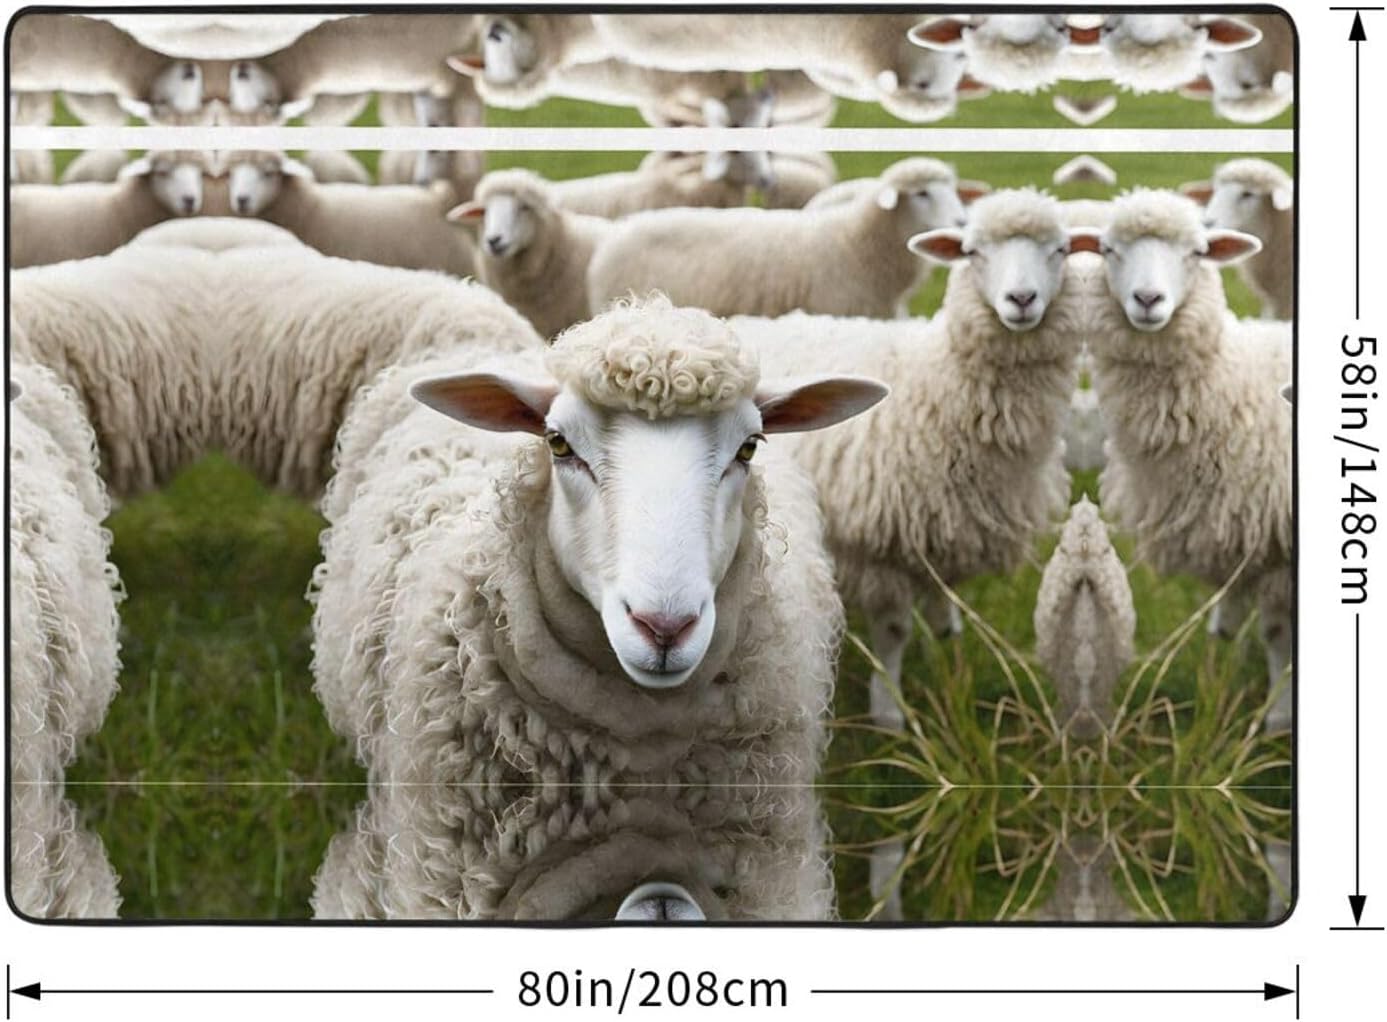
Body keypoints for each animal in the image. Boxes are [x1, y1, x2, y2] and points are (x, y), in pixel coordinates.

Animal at [729, 188, 1092, 728]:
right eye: (972, 252)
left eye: (1061, 250)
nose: (1022, 300)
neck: (937, 382)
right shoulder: (882, 548)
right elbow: (895, 630)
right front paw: (889, 711)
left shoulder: (951, 526)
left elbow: (945, 593)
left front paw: (948, 638)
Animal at [1076, 189, 1292, 731]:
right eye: (1108, 250)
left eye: (1197, 252)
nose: (1148, 300)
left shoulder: (1277, 548)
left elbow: (1277, 633)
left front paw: (1278, 719)